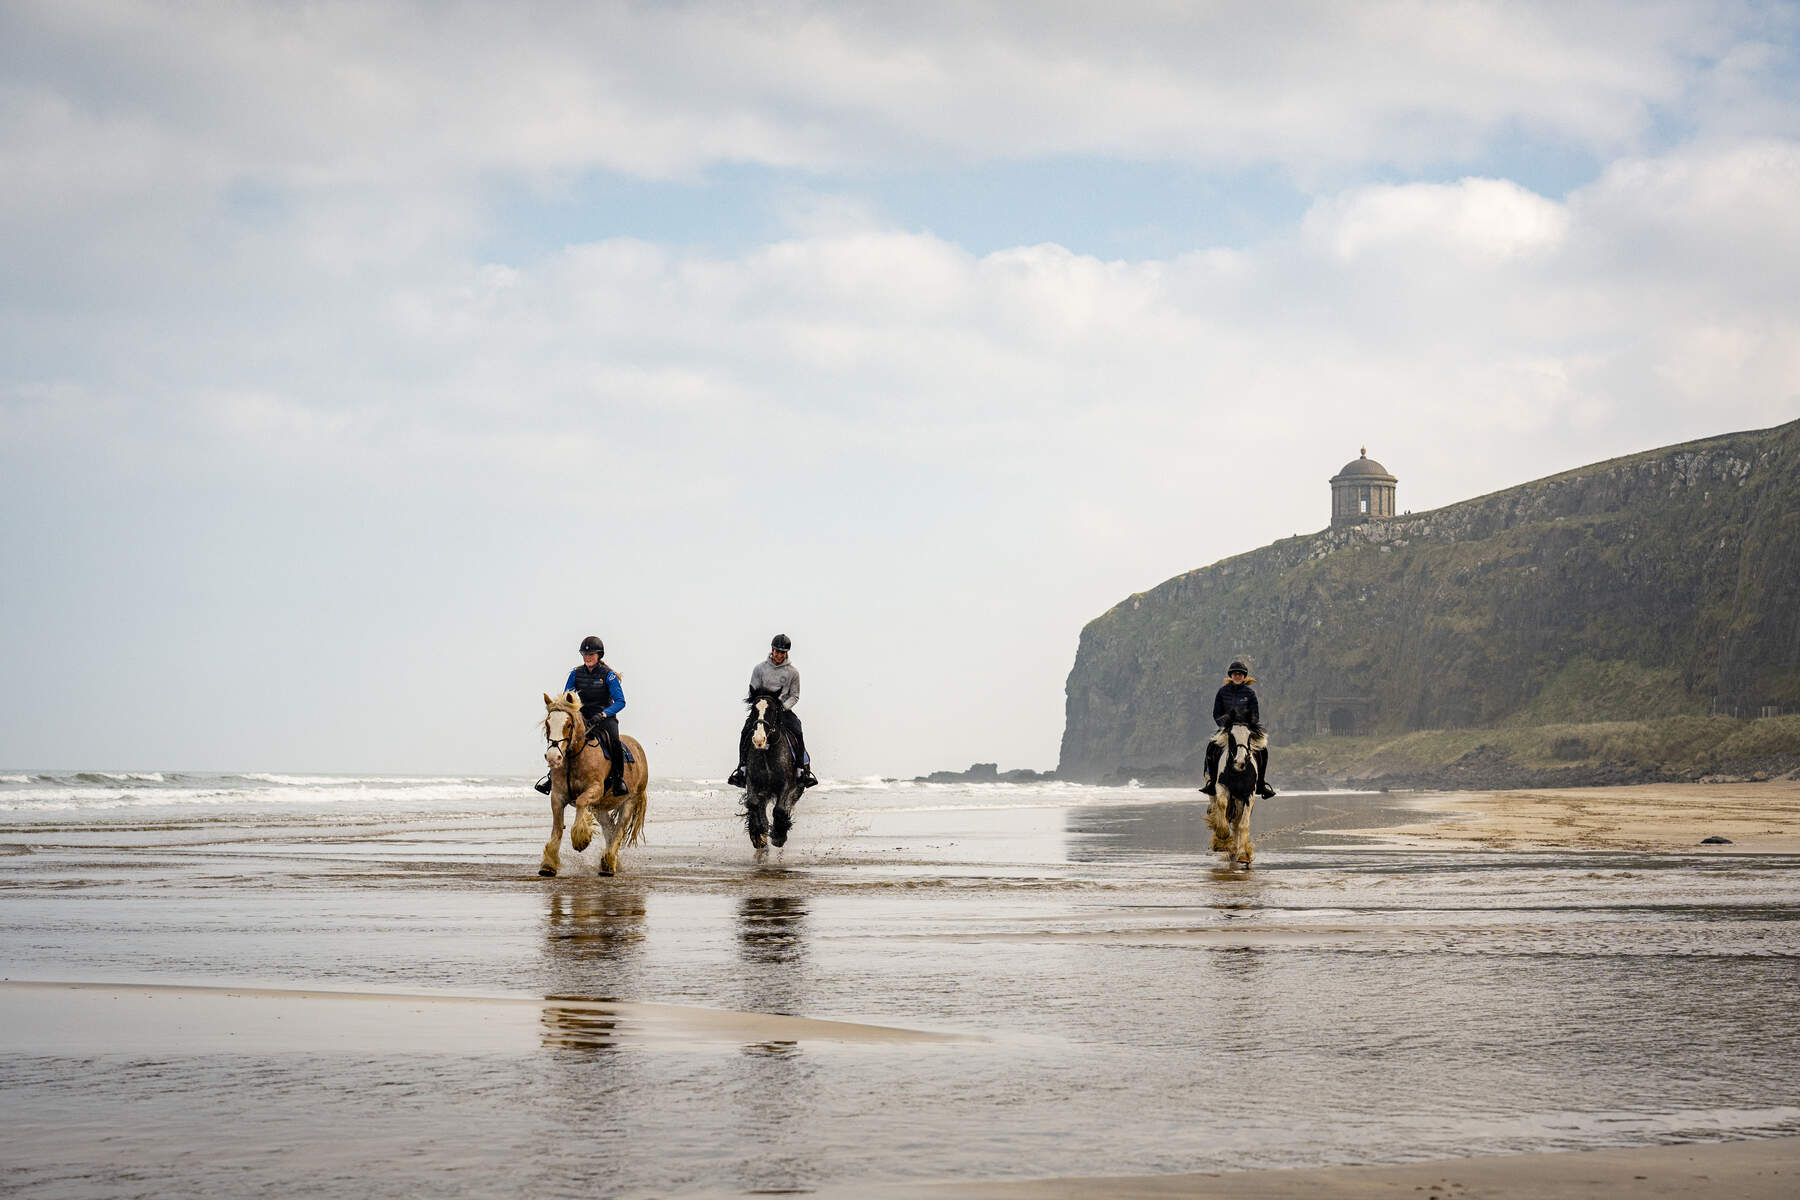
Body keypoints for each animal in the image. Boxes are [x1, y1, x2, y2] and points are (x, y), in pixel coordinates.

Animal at [536, 690, 651, 877]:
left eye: (568, 724)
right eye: (548, 723)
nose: (553, 757)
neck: (574, 758)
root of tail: (638, 749)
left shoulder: (595, 789)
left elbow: (581, 801)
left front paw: (580, 839)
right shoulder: (558, 795)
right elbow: (557, 828)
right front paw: (548, 864)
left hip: (629, 801)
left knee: (618, 831)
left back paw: (609, 865)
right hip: (601, 808)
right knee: (609, 829)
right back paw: (609, 861)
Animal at [741, 690, 806, 849]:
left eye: (772, 710)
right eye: (753, 710)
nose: (759, 740)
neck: (767, 752)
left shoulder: (786, 785)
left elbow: (780, 809)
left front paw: (778, 836)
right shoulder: (753, 782)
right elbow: (753, 803)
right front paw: (758, 835)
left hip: (797, 790)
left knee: (786, 806)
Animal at [1209, 723, 1267, 863]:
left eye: (1249, 735)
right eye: (1231, 736)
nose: (1240, 762)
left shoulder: (1249, 794)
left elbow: (1243, 824)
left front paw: (1244, 854)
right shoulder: (1221, 786)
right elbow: (1221, 805)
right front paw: (1223, 834)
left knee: (1236, 823)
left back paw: (1236, 850)